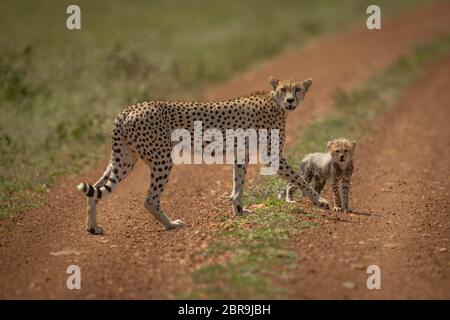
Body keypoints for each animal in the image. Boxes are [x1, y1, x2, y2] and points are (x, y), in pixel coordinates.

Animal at [77, 76, 330, 234]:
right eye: (283, 90)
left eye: (297, 89)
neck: (275, 102)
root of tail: (129, 108)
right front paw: (320, 201)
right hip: (161, 159)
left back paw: (93, 227)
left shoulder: (242, 153)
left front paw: (239, 210)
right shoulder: (271, 155)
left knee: (96, 190)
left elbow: (238, 183)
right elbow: (299, 178)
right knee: (149, 199)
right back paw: (171, 224)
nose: (290, 100)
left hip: (124, 160)